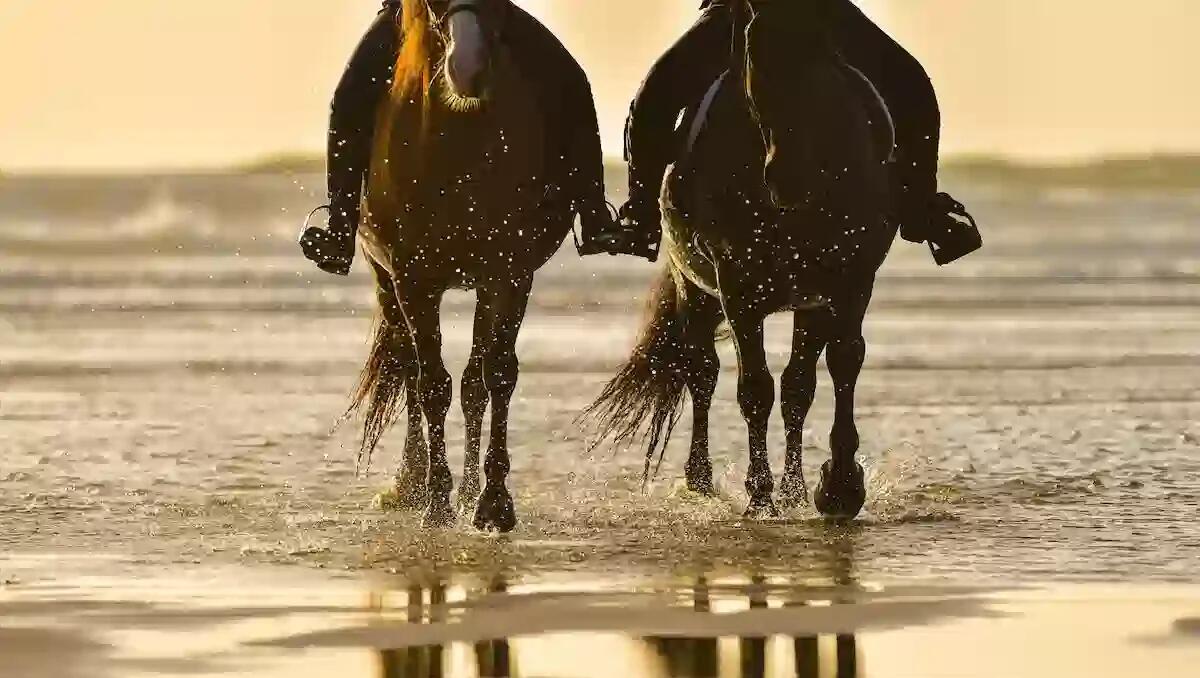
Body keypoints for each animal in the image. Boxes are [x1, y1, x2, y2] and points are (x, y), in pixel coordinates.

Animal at [348, 0, 576, 532]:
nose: (467, 68)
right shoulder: (413, 278)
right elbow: (431, 383)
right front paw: (435, 501)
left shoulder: (509, 273)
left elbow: (496, 375)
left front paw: (493, 503)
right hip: (385, 281)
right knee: (409, 369)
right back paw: (410, 485)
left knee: (473, 382)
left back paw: (470, 489)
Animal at [584, 1, 898, 519]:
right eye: (753, 56)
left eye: (821, 53)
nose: (789, 179)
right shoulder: (738, 285)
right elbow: (754, 388)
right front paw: (759, 496)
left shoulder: (850, 280)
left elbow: (842, 363)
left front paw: (838, 487)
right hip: (696, 291)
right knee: (702, 373)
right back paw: (701, 481)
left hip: (807, 303)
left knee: (797, 386)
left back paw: (794, 491)